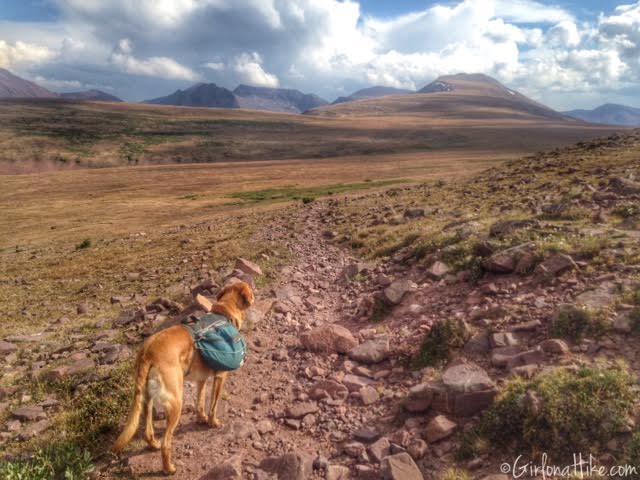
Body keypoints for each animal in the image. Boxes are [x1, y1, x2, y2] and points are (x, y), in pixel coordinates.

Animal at [112, 284, 255, 474]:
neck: (224, 312)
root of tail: (147, 352)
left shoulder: (201, 380)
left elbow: (200, 402)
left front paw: (201, 418)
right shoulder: (220, 377)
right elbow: (213, 405)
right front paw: (213, 422)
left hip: (147, 399)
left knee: (148, 432)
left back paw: (153, 444)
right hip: (175, 402)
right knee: (166, 444)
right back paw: (169, 469)